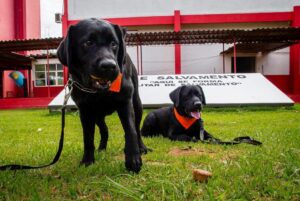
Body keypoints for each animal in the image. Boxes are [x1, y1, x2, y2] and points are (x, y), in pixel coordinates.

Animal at [56, 18, 148, 173]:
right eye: (88, 42)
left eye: (114, 44)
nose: (109, 65)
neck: (99, 92)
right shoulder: (85, 110)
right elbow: (88, 137)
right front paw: (87, 161)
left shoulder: (125, 102)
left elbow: (130, 131)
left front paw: (133, 160)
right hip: (97, 115)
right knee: (104, 129)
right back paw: (101, 148)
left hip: (137, 104)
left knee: (136, 128)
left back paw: (142, 147)